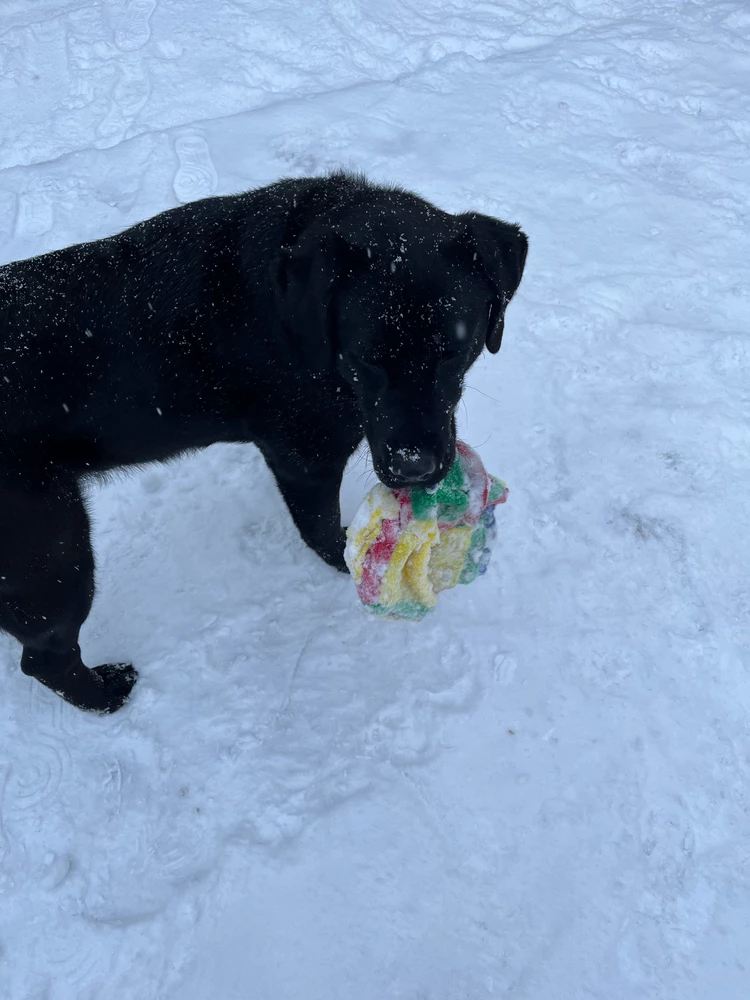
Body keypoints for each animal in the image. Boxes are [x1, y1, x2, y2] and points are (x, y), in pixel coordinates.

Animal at [1, 176, 528, 716]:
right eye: (365, 357)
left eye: (454, 352)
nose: (414, 468)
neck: (297, 314)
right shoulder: (306, 455)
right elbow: (321, 530)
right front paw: (347, 558)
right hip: (51, 553)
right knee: (44, 656)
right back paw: (107, 696)